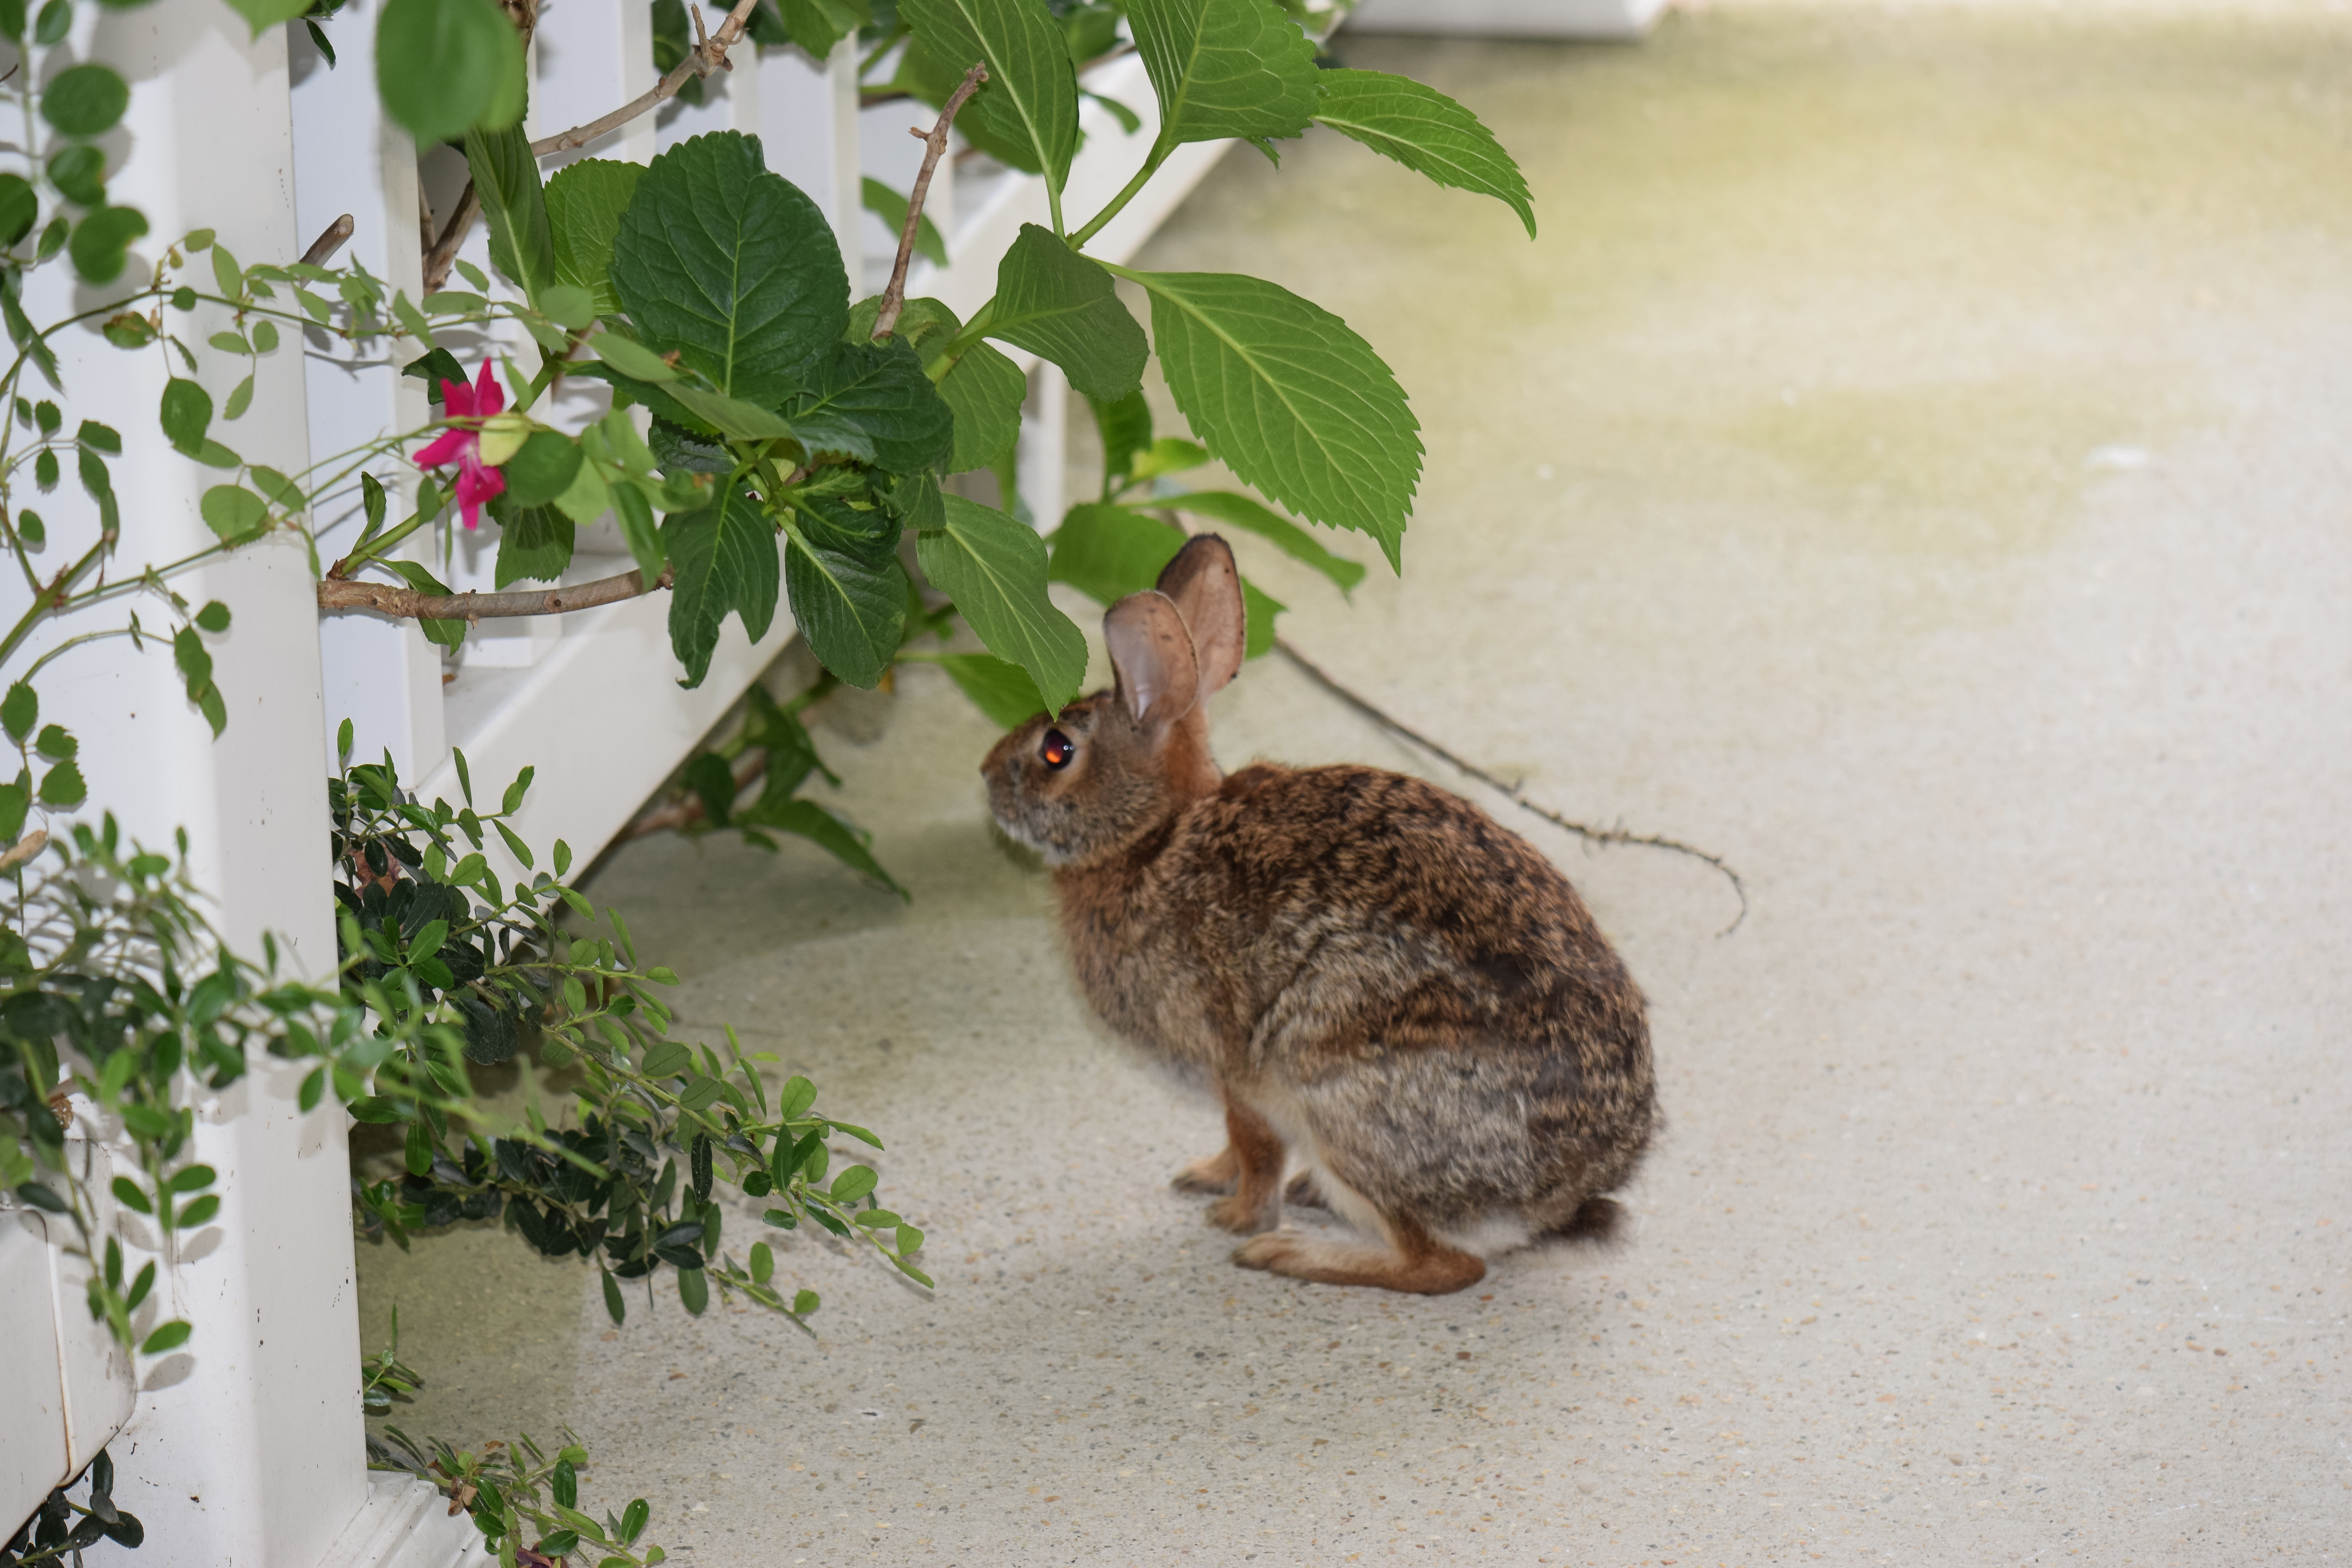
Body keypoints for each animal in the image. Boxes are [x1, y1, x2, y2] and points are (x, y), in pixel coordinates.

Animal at [978, 541, 1656, 1298]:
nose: (984, 775)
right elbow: (1234, 1144)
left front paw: (1237, 1216)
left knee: (1445, 1264)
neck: (1150, 838)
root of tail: (1564, 1192)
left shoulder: (1237, 1069)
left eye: (1056, 751)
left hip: (1338, 1099)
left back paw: (1289, 1252)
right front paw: (1205, 1177)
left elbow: (1254, 1145)